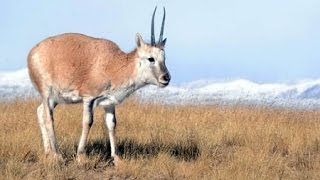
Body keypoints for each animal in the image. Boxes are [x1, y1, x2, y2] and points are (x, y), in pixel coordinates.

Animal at [26, 7, 170, 165]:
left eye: (164, 58)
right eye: (151, 58)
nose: (166, 78)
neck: (113, 63)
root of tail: (33, 52)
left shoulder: (109, 102)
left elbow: (112, 124)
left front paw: (117, 158)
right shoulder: (89, 98)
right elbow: (88, 122)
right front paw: (81, 156)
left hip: (54, 99)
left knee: (40, 112)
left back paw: (48, 153)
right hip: (47, 94)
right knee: (48, 118)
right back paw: (57, 155)